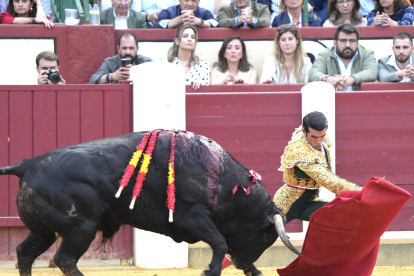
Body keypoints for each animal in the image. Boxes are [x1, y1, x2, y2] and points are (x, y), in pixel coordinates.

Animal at [0, 130, 298, 276]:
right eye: (265, 236)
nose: (243, 263)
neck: (219, 176)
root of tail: (28, 164)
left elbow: (222, 243)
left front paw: (254, 272)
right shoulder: (193, 218)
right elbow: (220, 242)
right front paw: (210, 271)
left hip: (45, 230)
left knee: (25, 253)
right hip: (79, 228)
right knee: (65, 259)